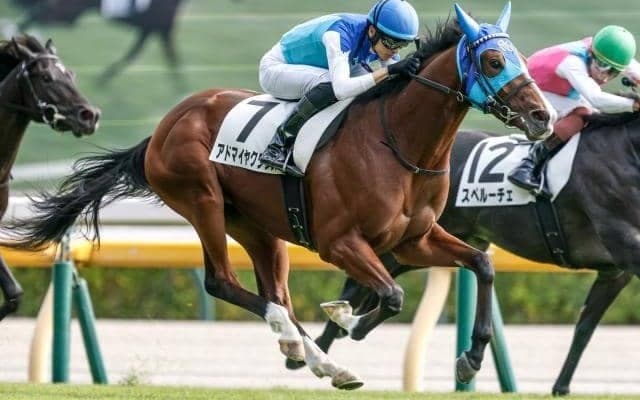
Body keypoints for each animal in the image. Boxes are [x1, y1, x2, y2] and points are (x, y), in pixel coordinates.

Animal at [12, 0, 185, 85]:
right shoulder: (160, 28)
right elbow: (172, 58)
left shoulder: (152, 29)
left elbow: (134, 54)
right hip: (70, 12)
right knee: (41, 15)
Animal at [307, 112, 640, 395]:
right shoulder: (625, 246)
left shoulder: (616, 271)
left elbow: (585, 328)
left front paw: (561, 388)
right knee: (357, 286)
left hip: (432, 244)